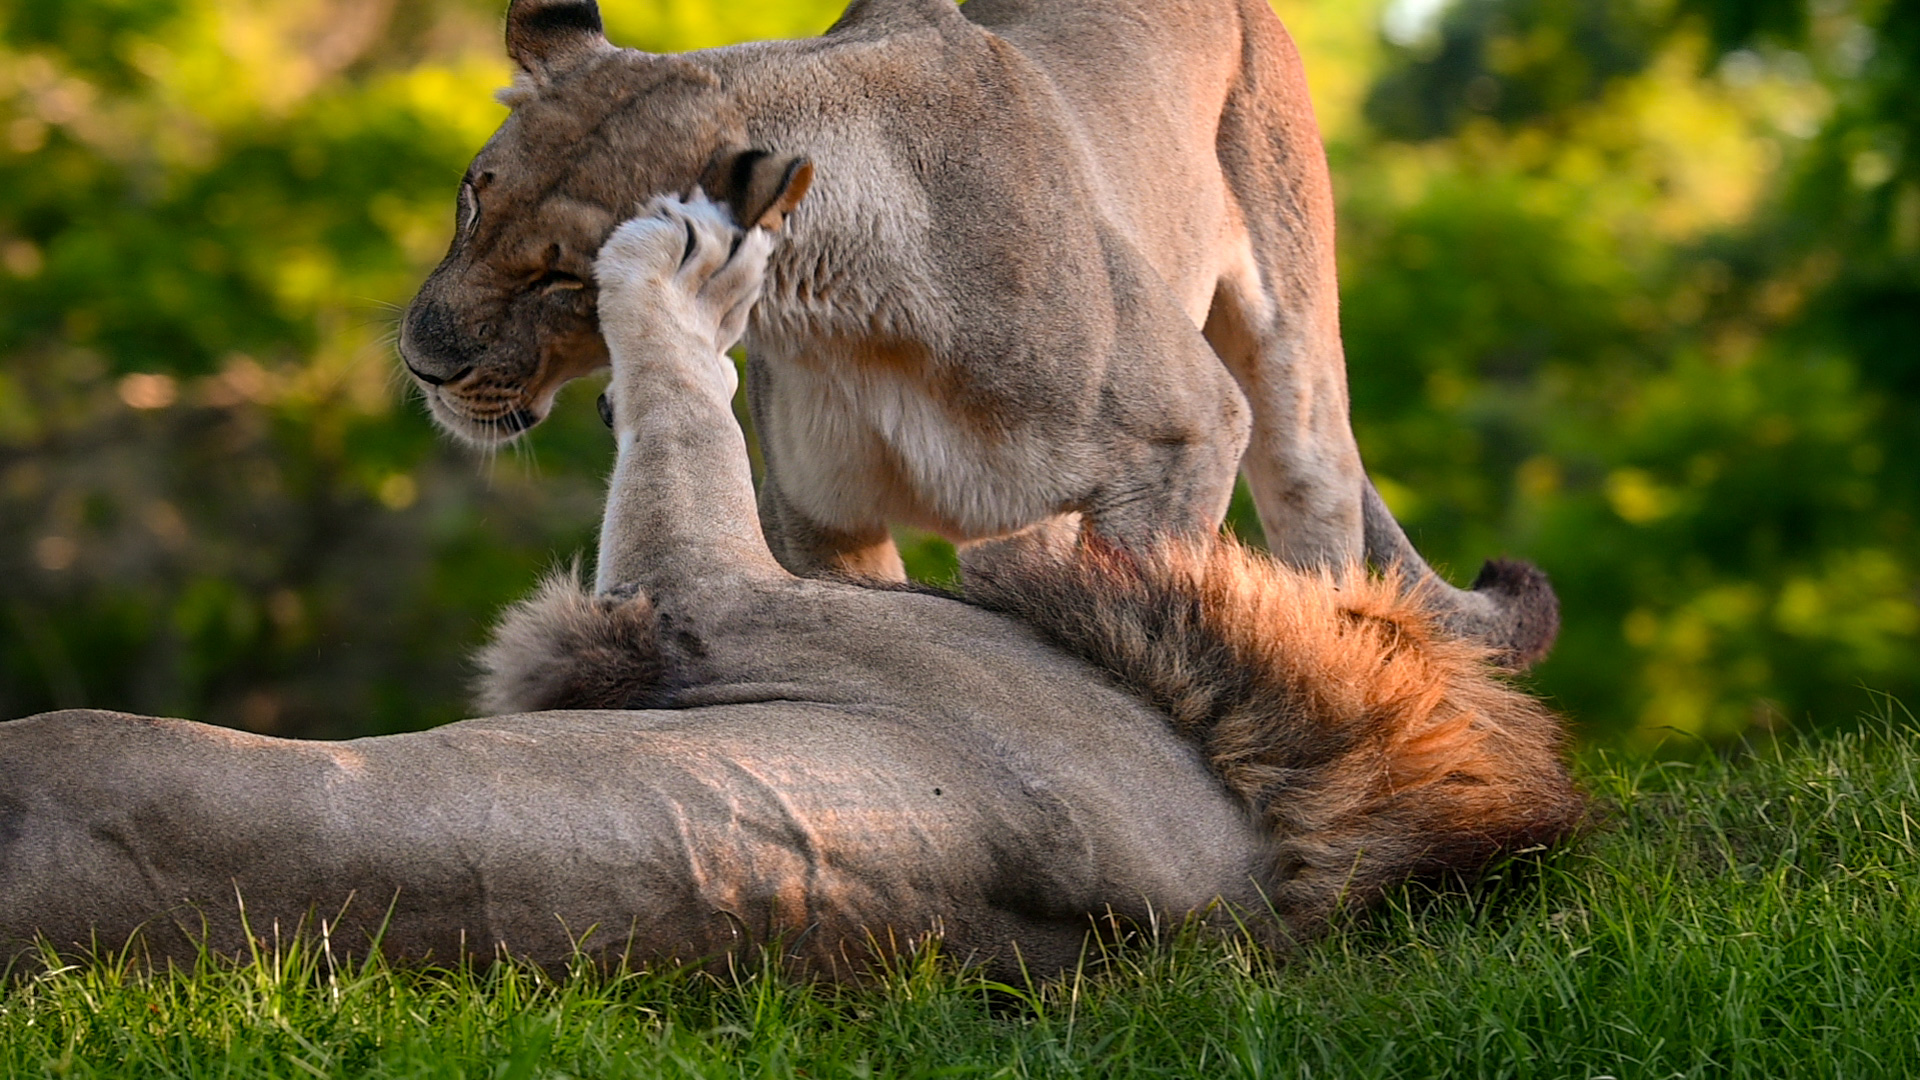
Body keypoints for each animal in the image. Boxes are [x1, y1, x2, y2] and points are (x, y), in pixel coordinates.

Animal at [397, 0, 1561, 667]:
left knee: (1323, 523)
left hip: (1291, 358)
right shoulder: (820, 521)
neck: (848, 313)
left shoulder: (1187, 433)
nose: (423, 361)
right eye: (472, 197)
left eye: (566, 277)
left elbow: (1134, 596)